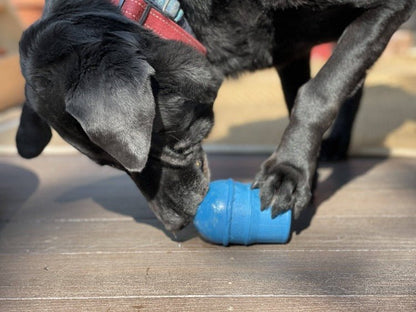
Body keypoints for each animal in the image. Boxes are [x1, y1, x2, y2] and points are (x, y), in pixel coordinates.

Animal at [14, 0, 414, 232]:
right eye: (109, 165)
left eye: (156, 144)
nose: (176, 224)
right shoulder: (292, 54)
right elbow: (308, 94)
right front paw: (303, 174)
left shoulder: (387, 7)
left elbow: (319, 91)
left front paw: (287, 173)